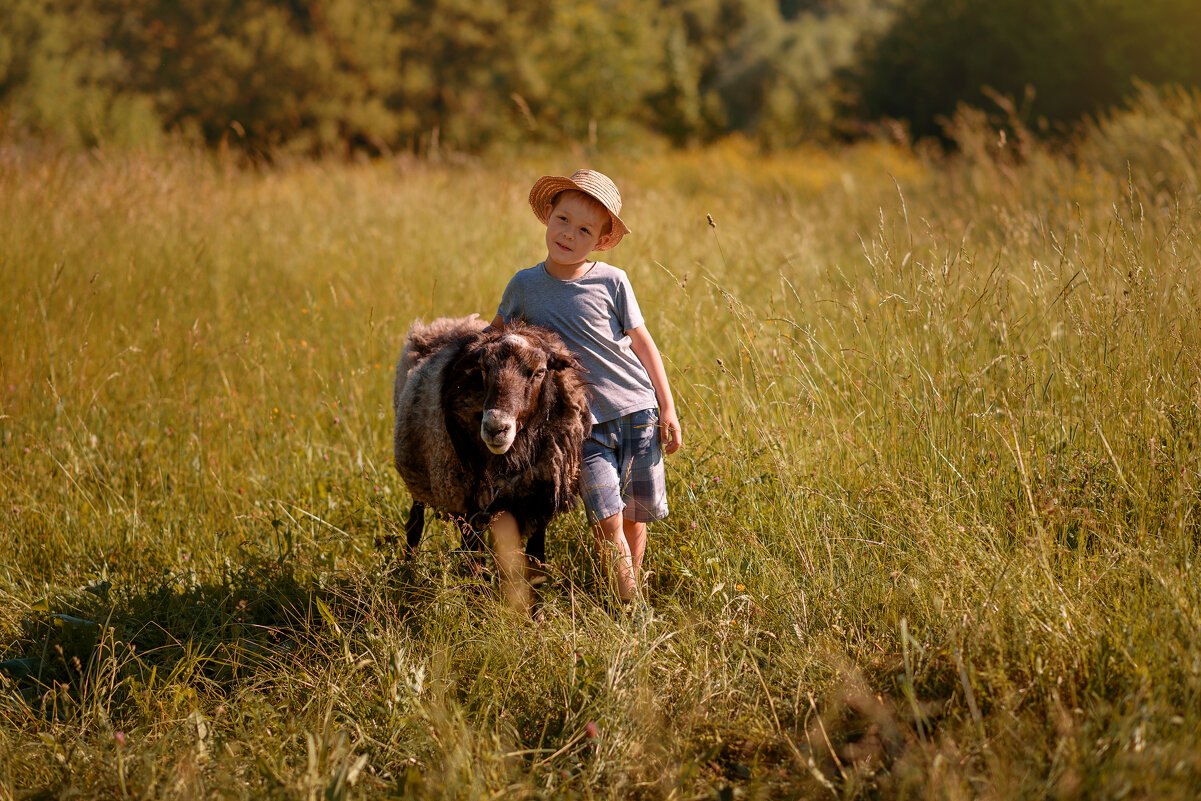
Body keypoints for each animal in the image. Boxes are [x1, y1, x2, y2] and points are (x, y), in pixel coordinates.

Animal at [391, 317, 593, 588]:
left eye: (539, 372)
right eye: (485, 369)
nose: (495, 427)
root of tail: (444, 323)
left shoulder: (539, 500)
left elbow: (535, 564)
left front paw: (533, 599)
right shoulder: (466, 504)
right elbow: (474, 565)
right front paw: (479, 596)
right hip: (420, 472)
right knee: (415, 521)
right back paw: (409, 568)